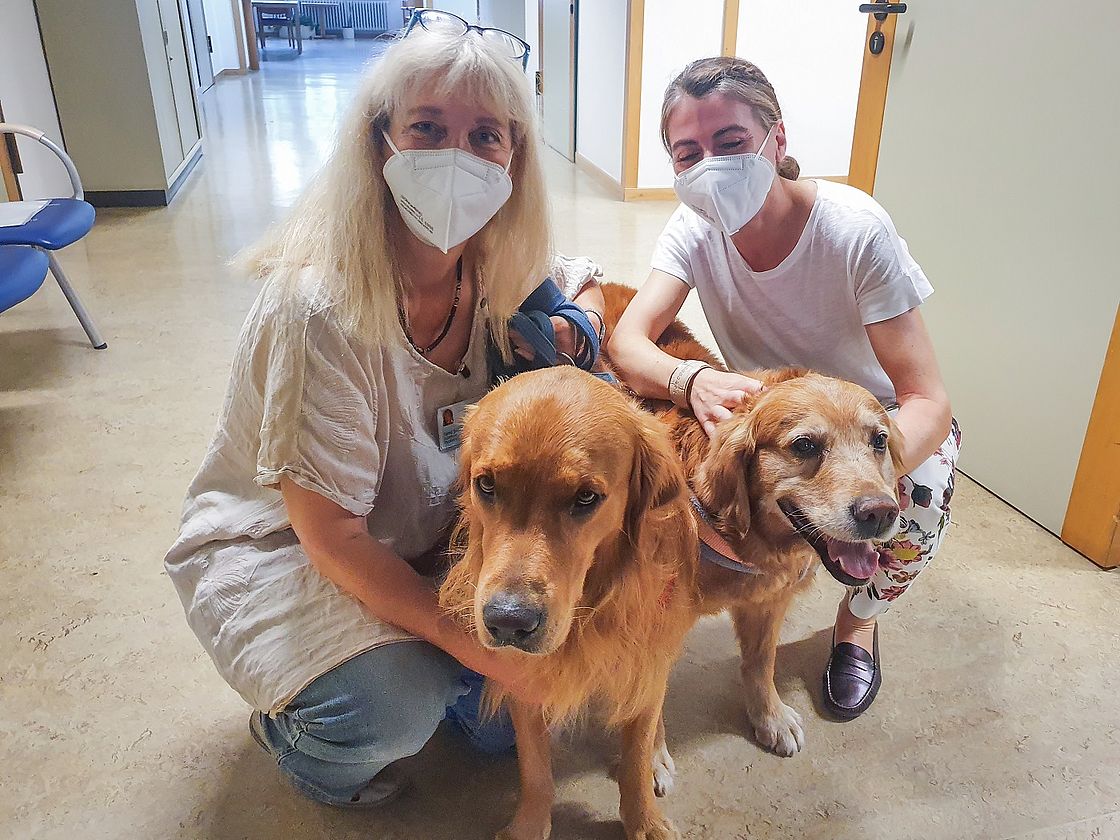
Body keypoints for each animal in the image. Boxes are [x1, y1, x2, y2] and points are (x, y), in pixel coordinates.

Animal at [441, 367, 694, 840]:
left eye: (585, 498)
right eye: (487, 485)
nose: (508, 621)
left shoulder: (645, 656)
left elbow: (635, 756)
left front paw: (645, 820)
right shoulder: (522, 676)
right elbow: (535, 769)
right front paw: (529, 825)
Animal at [600, 283, 904, 757]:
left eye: (878, 441)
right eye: (804, 445)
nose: (880, 513)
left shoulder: (767, 601)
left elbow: (761, 662)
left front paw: (769, 716)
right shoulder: (649, 621)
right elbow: (647, 697)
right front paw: (650, 758)